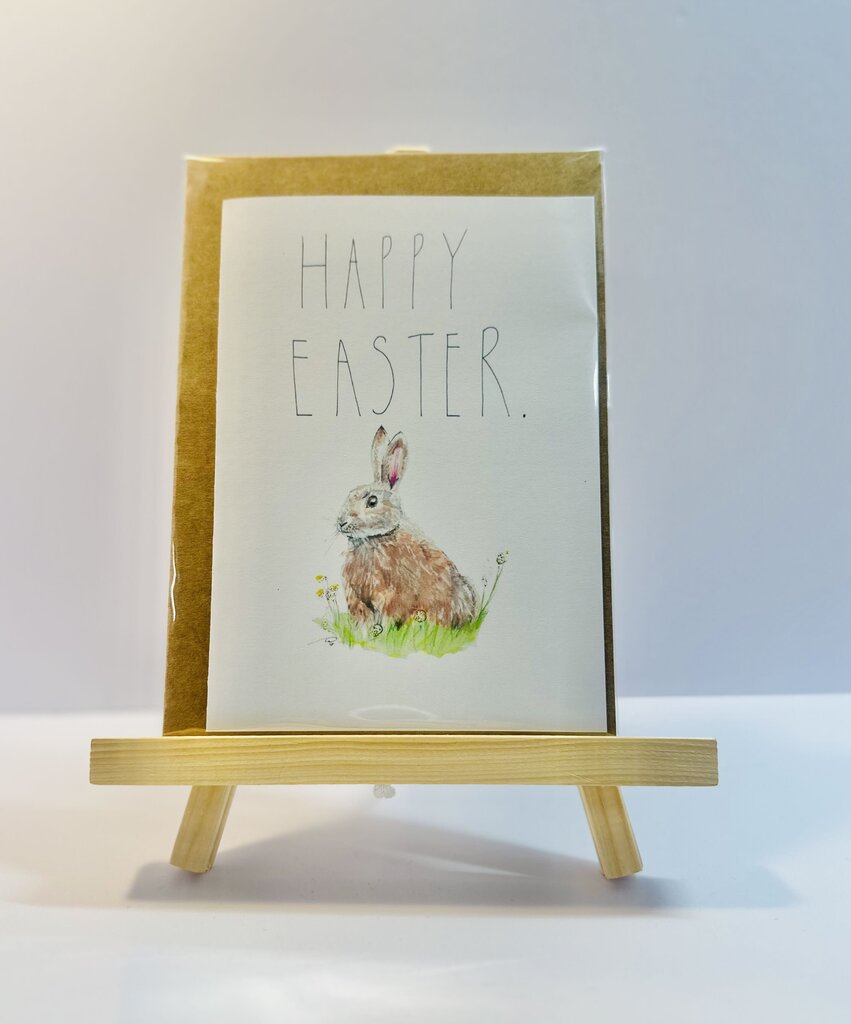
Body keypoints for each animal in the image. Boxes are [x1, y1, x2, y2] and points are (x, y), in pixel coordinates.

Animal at [337, 426, 478, 628]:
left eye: (372, 501)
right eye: (349, 495)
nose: (341, 522)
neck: (374, 539)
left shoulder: (392, 595)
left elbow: (388, 616)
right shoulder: (356, 597)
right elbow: (362, 620)